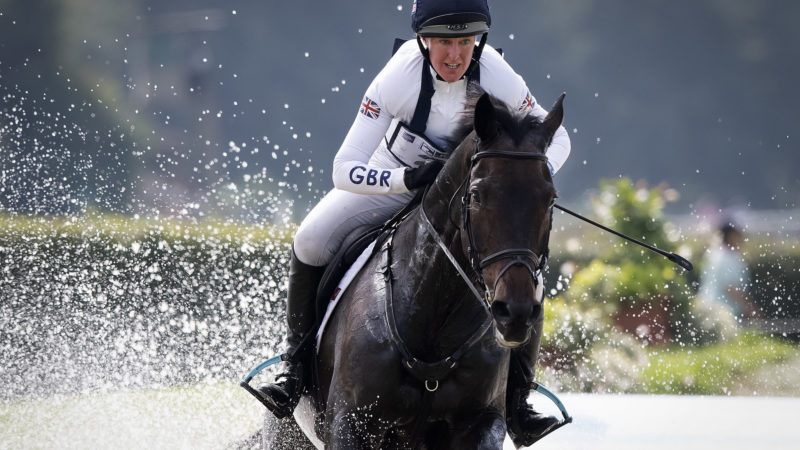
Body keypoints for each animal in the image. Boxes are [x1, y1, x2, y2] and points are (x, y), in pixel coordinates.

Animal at [262, 89, 564, 448]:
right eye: (477, 195)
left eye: (550, 199)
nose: (515, 312)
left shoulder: (482, 422)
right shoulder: (350, 422)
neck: (434, 320)